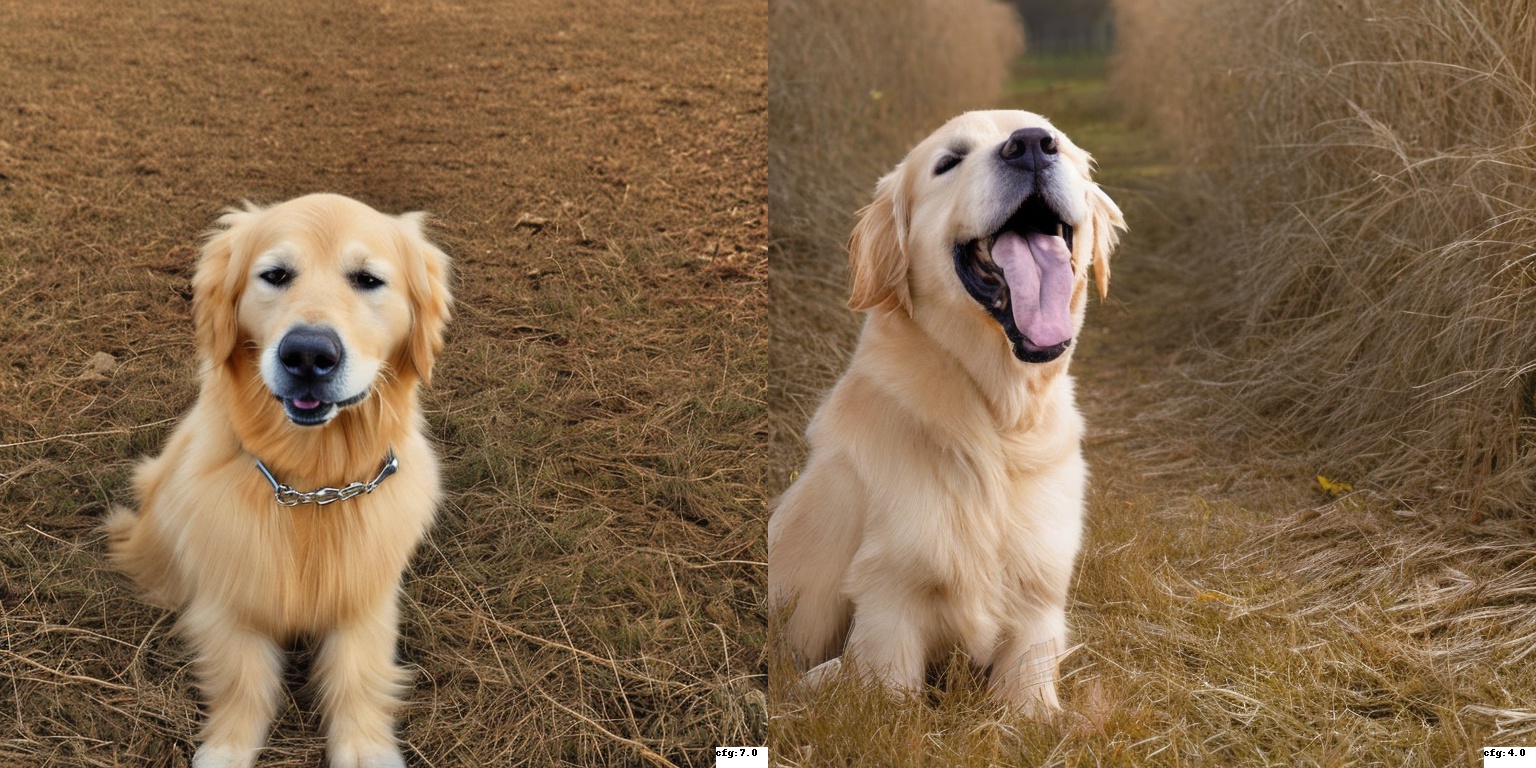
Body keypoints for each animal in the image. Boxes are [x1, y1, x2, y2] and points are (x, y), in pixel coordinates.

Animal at [101, 195, 448, 768]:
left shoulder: (364, 601)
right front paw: (226, 749)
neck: (310, 485)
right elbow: (244, 681)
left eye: (368, 280)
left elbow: (357, 674)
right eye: (276, 275)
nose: (308, 354)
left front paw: (365, 746)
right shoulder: (228, 599)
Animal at [774, 109, 1124, 712]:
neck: (998, 422)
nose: (1032, 146)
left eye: (1058, 141)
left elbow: (1028, 702)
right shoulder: (889, 602)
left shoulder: (1039, 604)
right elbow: (887, 701)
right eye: (948, 161)